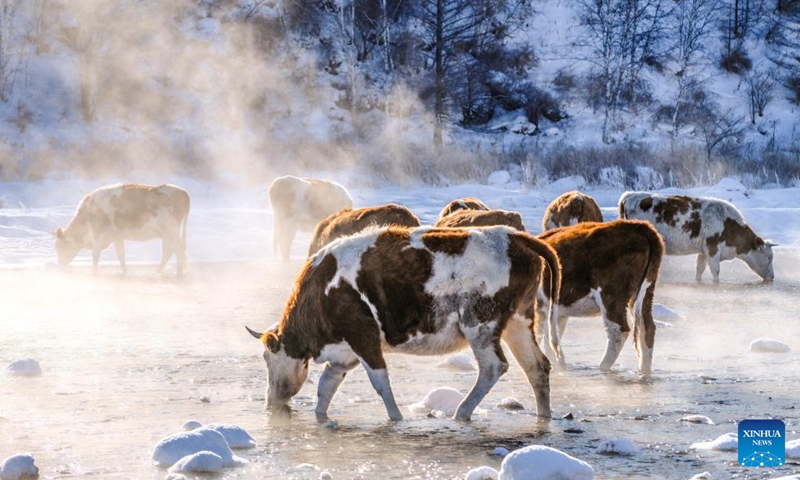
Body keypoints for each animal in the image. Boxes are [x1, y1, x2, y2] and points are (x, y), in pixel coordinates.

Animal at [54, 183, 190, 276]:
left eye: (59, 246)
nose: (60, 262)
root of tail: (182, 192)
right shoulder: (117, 237)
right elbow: (121, 255)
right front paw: (124, 271)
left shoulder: (98, 235)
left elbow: (96, 255)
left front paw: (94, 271)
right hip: (168, 235)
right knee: (170, 251)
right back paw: (159, 271)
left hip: (171, 232)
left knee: (178, 252)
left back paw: (178, 273)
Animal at [246, 225, 561, 422]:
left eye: (266, 358)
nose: (271, 400)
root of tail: (514, 237)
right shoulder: (344, 352)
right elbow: (327, 386)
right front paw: (321, 417)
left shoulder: (363, 336)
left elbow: (380, 382)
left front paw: (396, 418)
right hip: (519, 321)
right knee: (537, 366)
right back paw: (543, 415)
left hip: (480, 322)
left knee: (494, 366)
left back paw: (461, 413)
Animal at [536, 220, 663, 375]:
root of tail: (638, 226)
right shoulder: (557, 314)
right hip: (645, 292)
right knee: (647, 328)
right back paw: (643, 371)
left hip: (611, 296)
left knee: (619, 330)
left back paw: (603, 368)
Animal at [619, 192, 775, 283]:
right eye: (769, 257)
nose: (772, 277)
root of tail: (629, 196)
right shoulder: (712, 248)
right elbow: (715, 271)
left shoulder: (703, 251)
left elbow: (700, 269)